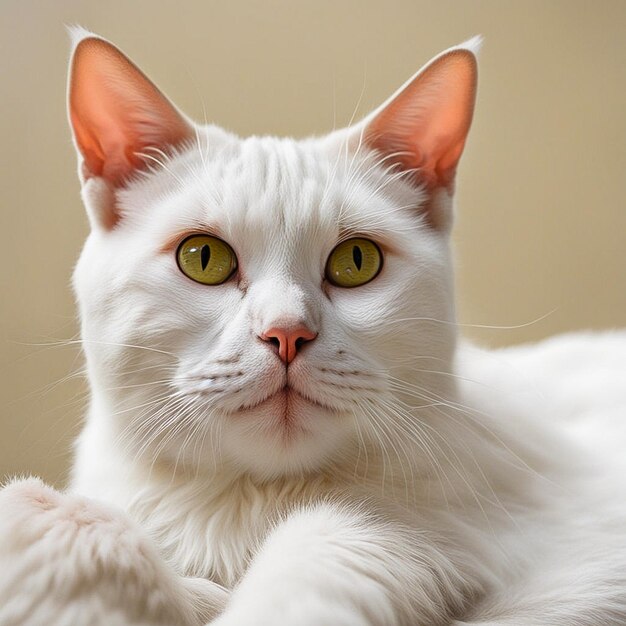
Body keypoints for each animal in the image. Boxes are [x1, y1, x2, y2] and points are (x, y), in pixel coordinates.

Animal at [1, 29, 624, 624]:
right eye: (203, 257)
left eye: (357, 261)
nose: (286, 332)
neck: (248, 511)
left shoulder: (419, 536)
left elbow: (321, 559)